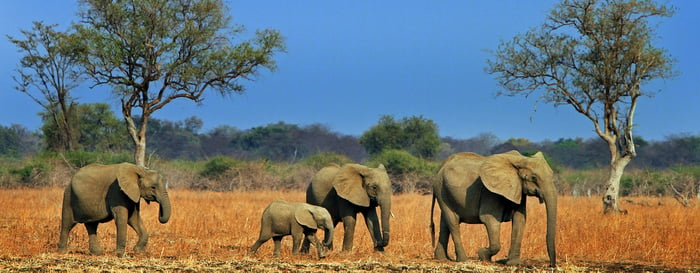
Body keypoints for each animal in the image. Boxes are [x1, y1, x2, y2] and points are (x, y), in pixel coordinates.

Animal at [426, 149, 556, 266]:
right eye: (534, 177)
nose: (552, 265)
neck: (520, 160)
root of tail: (441, 167)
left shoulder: (518, 189)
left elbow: (520, 219)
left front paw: (514, 263)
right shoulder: (490, 192)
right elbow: (489, 219)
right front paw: (482, 255)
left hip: (445, 190)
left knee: (445, 222)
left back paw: (442, 259)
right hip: (441, 189)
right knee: (453, 221)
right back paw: (464, 260)